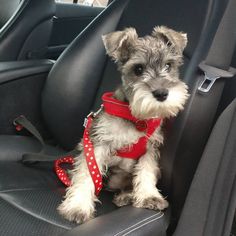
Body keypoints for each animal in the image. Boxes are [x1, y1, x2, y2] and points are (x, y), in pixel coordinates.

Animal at [58, 25, 189, 223]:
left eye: (169, 65)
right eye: (138, 69)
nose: (161, 93)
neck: (137, 119)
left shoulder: (150, 148)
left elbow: (146, 171)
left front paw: (150, 196)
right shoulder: (98, 143)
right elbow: (88, 173)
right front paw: (78, 206)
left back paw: (126, 196)